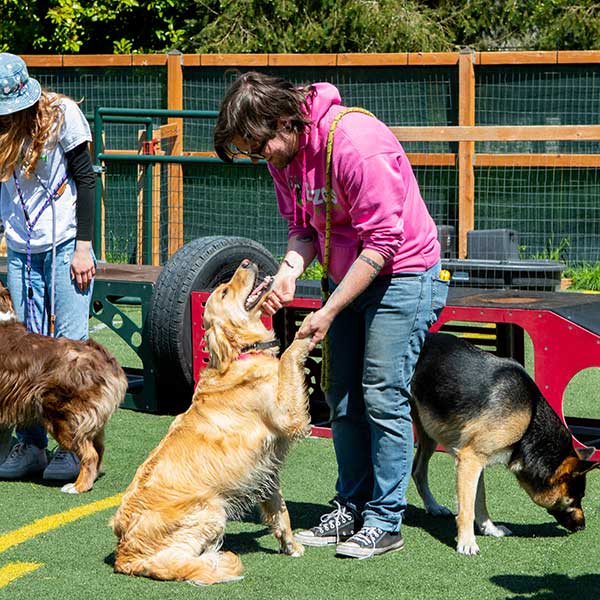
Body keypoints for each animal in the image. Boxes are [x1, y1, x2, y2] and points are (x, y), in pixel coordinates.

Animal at [110, 260, 312, 584]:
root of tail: (124, 555)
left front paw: (290, 545)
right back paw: (216, 561)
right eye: (226, 291)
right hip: (212, 508)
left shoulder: (266, 470)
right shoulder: (288, 416)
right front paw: (311, 327)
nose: (245, 261)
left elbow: (280, 511)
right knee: (185, 560)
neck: (241, 353)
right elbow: (290, 356)